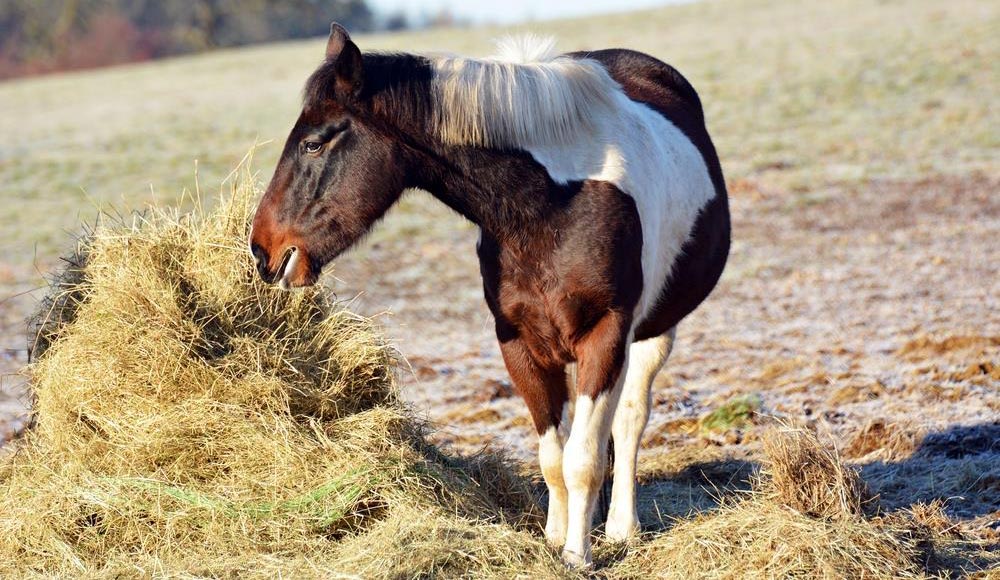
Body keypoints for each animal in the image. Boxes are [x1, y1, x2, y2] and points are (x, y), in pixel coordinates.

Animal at [249, 23, 728, 568]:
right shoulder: (517, 342)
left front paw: (578, 554)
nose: (262, 250)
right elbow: (552, 457)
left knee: (629, 421)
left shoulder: (605, 335)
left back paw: (622, 528)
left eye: (313, 144)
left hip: (654, 332)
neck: (551, 207)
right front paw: (553, 540)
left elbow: (583, 458)